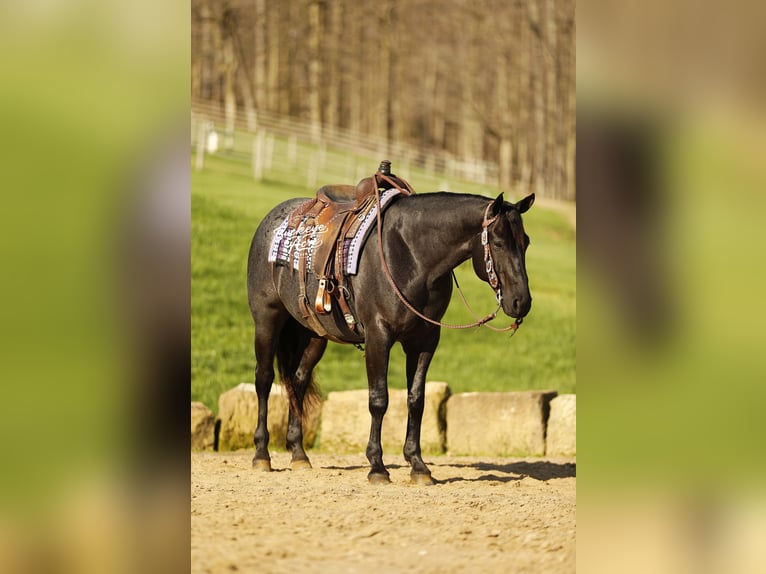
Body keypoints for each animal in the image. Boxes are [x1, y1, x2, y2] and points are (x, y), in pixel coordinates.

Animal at [246, 181, 535, 484]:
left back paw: (299, 454)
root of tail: (273, 218)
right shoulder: (378, 336)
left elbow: (416, 400)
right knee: (264, 379)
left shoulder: (425, 341)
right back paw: (261, 455)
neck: (411, 255)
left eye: (526, 242)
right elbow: (379, 399)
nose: (522, 302)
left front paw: (418, 465)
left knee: (298, 381)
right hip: (267, 321)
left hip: (314, 334)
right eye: (499, 243)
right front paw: (377, 466)